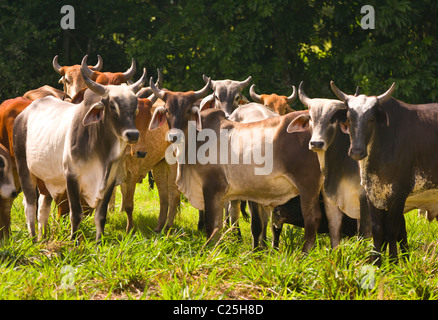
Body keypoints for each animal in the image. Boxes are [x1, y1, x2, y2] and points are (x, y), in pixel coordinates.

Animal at [13, 63, 147, 242]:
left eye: (135, 107)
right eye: (112, 106)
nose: (133, 134)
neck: (101, 152)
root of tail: (24, 114)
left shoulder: (109, 180)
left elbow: (101, 216)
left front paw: (98, 243)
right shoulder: (71, 177)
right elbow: (76, 214)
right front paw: (73, 242)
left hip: (46, 178)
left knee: (42, 206)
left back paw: (42, 237)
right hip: (24, 169)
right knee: (30, 205)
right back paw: (34, 239)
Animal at [330, 81, 438, 264]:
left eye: (371, 119)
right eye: (349, 118)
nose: (357, 151)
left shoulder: (399, 194)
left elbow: (392, 231)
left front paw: (394, 262)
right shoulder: (372, 193)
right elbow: (378, 230)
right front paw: (376, 262)